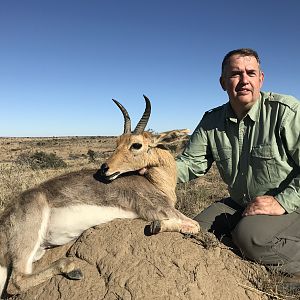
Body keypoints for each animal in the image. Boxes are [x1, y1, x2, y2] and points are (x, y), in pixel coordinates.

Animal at [0, 96, 202, 298]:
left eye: (136, 144)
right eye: (117, 142)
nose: (105, 168)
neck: (156, 183)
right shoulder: (157, 210)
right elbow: (194, 225)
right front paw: (157, 226)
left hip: (38, 250)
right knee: (16, 282)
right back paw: (72, 268)